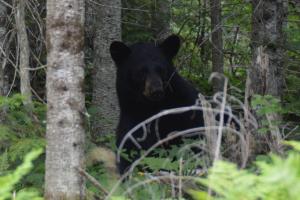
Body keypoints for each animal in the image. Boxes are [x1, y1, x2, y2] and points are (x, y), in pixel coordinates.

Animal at [109, 35, 204, 174]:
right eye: (141, 72)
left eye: (161, 70)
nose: (156, 91)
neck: (152, 108)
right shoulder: (132, 121)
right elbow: (130, 153)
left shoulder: (187, 111)